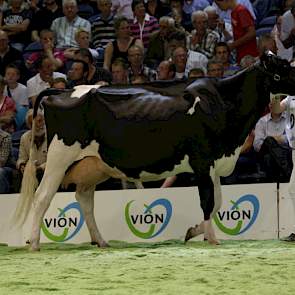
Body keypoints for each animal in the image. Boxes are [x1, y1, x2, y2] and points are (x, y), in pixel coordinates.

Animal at [15, 53, 295, 252]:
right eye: (282, 68)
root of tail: (64, 90)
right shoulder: (202, 161)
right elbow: (208, 202)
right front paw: (212, 239)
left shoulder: (215, 163)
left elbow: (218, 203)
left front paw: (194, 232)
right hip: (59, 158)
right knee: (42, 197)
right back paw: (34, 243)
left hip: (93, 165)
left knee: (84, 199)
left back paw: (100, 241)